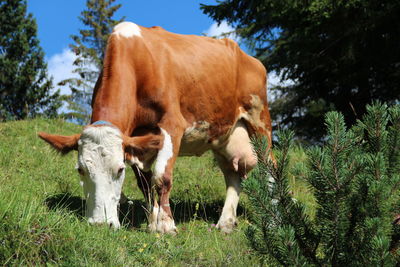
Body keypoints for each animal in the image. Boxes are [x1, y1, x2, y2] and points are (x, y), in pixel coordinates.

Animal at [38, 22, 272, 236]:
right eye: (80, 169)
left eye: (119, 169)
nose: (101, 225)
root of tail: (249, 58)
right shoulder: (134, 141)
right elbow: (145, 183)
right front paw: (153, 222)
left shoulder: (172, 125)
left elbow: (161, 178)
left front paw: (167, 225)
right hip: (223, 136)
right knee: (232, 174)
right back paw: (225, 222)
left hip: (260, 121)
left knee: (270, 167)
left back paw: (273, 220)